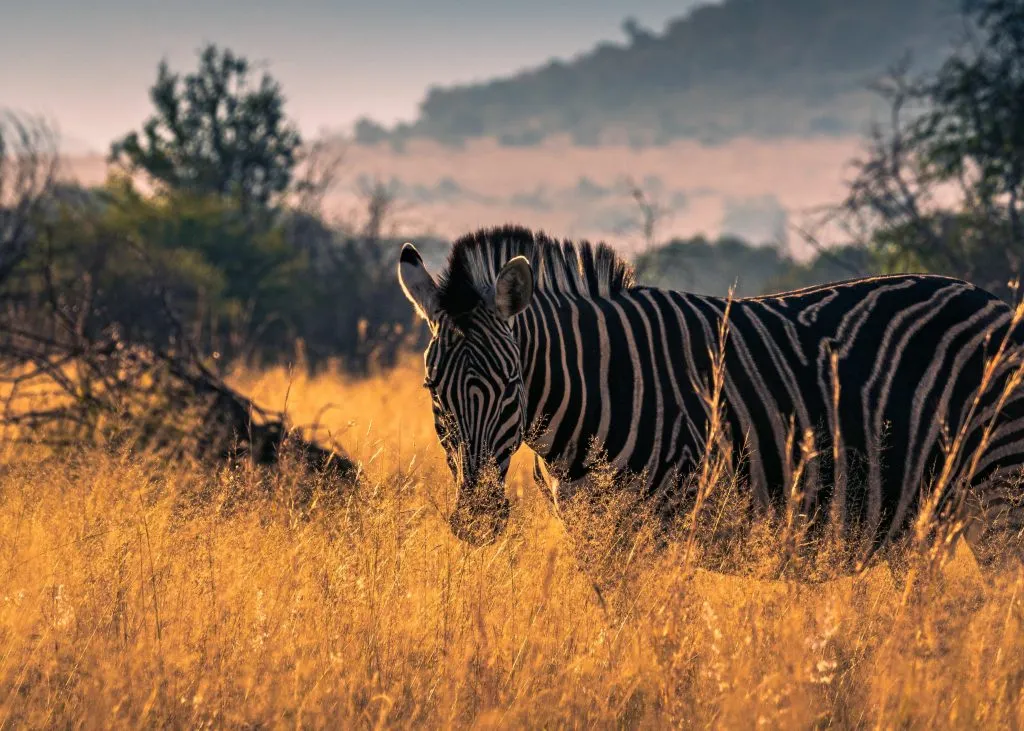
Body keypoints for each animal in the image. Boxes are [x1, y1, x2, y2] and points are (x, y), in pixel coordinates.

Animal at [397, 224, 1024, 570]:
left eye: (511, 385)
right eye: (432, 391)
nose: (477, 520)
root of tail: (995, 303)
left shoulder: (654, 527)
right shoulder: (593, 530)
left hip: (999, 492)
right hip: (931, 515)